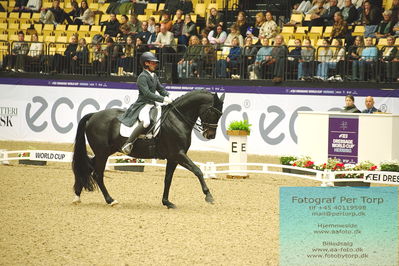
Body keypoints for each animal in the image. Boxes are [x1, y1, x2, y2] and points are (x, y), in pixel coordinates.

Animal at [70, 89, 223, 208]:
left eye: (220, 114)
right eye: (213, 112)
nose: (210, 135)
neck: (177, 118)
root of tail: (93, 115)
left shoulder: (173, 158)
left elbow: (168, 179)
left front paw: (167, 202)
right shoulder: (178, 154)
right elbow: (198, 171)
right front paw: (209, 196)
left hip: (106, 151)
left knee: (88, 167)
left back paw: (77, 196)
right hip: (102, 152)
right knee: (97, 174)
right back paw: (110, 200)